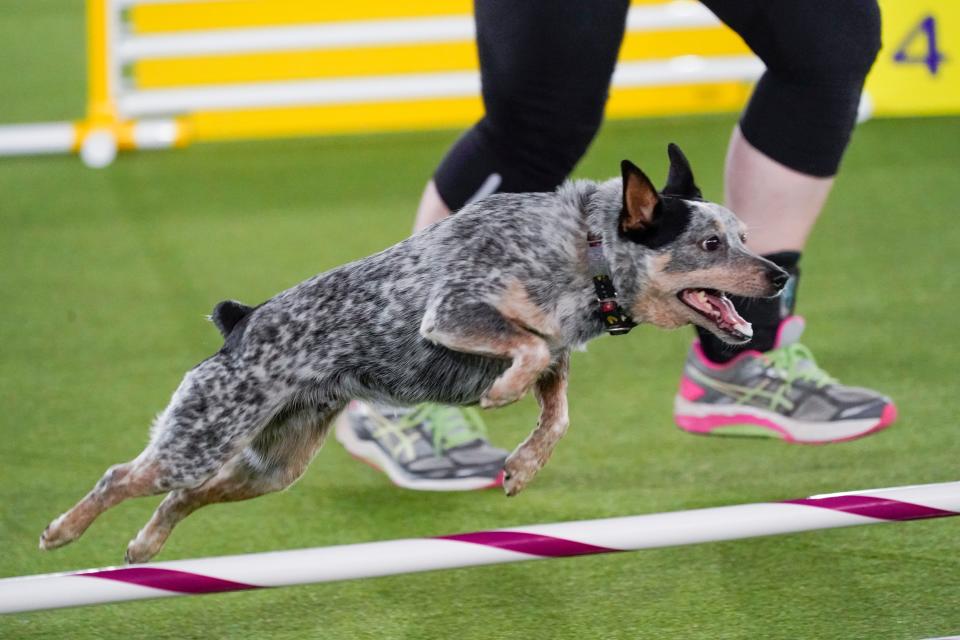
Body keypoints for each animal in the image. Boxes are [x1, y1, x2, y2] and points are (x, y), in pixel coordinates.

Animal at [37, 144, 788, 560]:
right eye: (710, 245)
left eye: (744, 236)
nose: (780, 275)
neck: (586, 252)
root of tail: (240, 324)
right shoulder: (453, 312)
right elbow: (527, 347)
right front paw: (502, 393)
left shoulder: (559, 351)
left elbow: (558, 404)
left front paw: (523, 466)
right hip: (203, 434)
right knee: (123, 476)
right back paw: (62, 532)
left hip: (273, 467)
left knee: (183, 497)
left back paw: (145, 545)